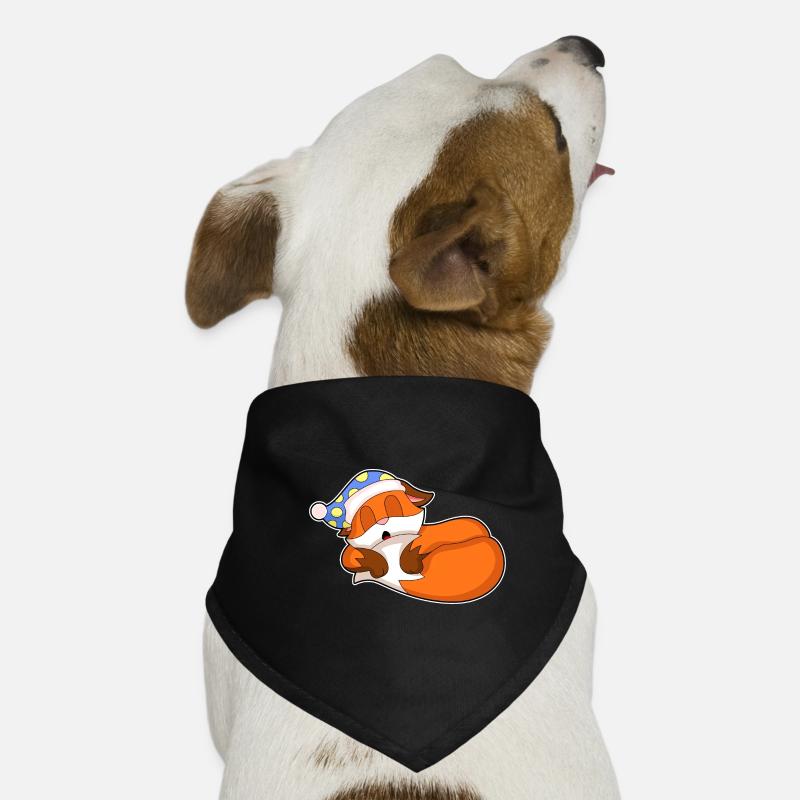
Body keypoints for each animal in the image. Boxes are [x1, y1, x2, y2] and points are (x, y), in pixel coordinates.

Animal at [309, 469, 505, 602]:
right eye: (366, 517)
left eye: (393, 505)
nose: (383, 522)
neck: (391, 547)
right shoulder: (355, 552)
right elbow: (352, 555)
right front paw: (377, 564)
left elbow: (424, 540)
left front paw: (411, 557)